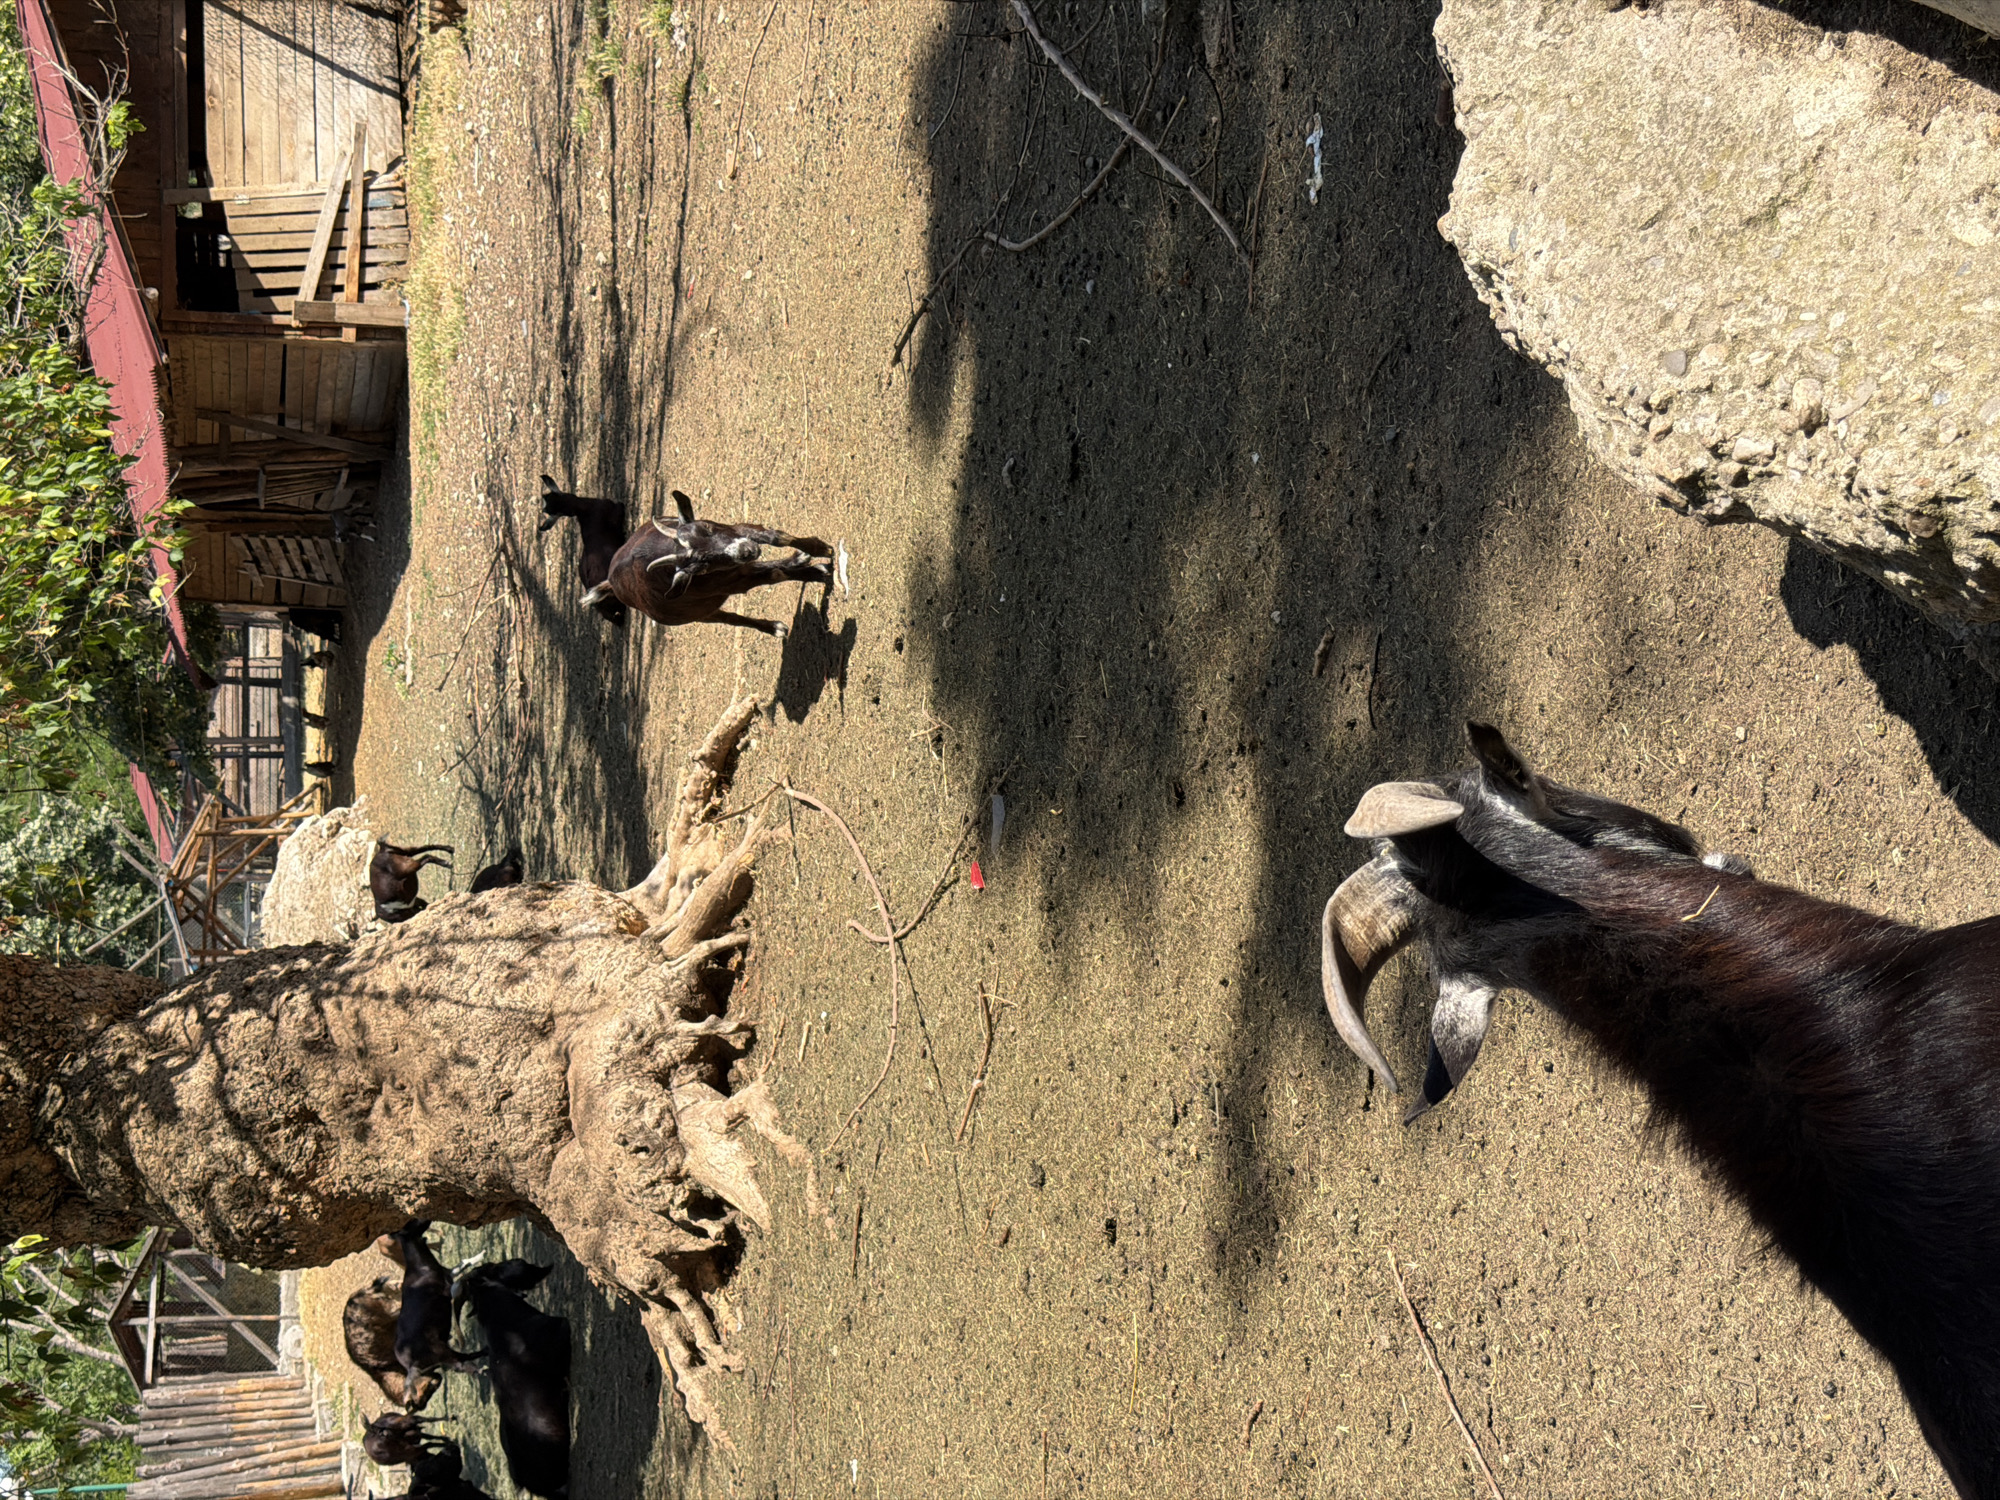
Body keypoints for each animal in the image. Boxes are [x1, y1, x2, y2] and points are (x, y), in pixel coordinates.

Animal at [391, 1221, 483, 1390]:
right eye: (411, 1224)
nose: (425, 1219)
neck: (421, 1268)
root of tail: (410, 1367)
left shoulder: (448, 1276)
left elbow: (461, 1265)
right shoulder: (447, 1290)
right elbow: (459, 1280)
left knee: (463, 1366)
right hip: (442, 1352)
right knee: (462, 1360)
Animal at [579, 489, 832, 638]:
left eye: (707, 528)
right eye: (701, 565)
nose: (746, 550)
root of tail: (611, 583)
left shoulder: (735, 530)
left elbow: (775, 537)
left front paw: (819, 548)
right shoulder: (734, 581)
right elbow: (775, 575)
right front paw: (818, 573)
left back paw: (797, 558)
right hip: (703, 613)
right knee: (732, 617)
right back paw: (774, 628)